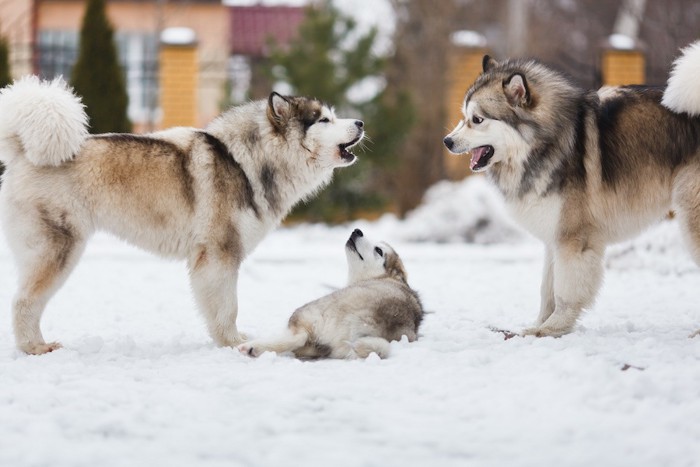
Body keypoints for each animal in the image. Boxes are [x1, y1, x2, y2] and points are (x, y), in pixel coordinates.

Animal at [0, 76, 364, 354]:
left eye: (332, 116)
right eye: (323, 119)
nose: (360, 122)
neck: (246, 162)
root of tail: (23, 151)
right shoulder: (218, 254)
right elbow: (227, 306)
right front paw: (231, 342)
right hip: (59, 250)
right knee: (23, 302)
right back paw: (35, 347)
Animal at [238, 229, 424, 360]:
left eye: (378, 250)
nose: (357, 230)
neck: (379, 278)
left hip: (306, 312)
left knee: (298, 338)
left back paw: (252, 347)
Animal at [442, 43, 700, 336]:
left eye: (477, 119)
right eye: (464, 117)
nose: (447, 141)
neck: (546, 141)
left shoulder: (573, 238)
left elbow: (564, 291)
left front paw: (553, 327)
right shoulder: (554, 236)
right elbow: (547, 290)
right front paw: (539, 326)